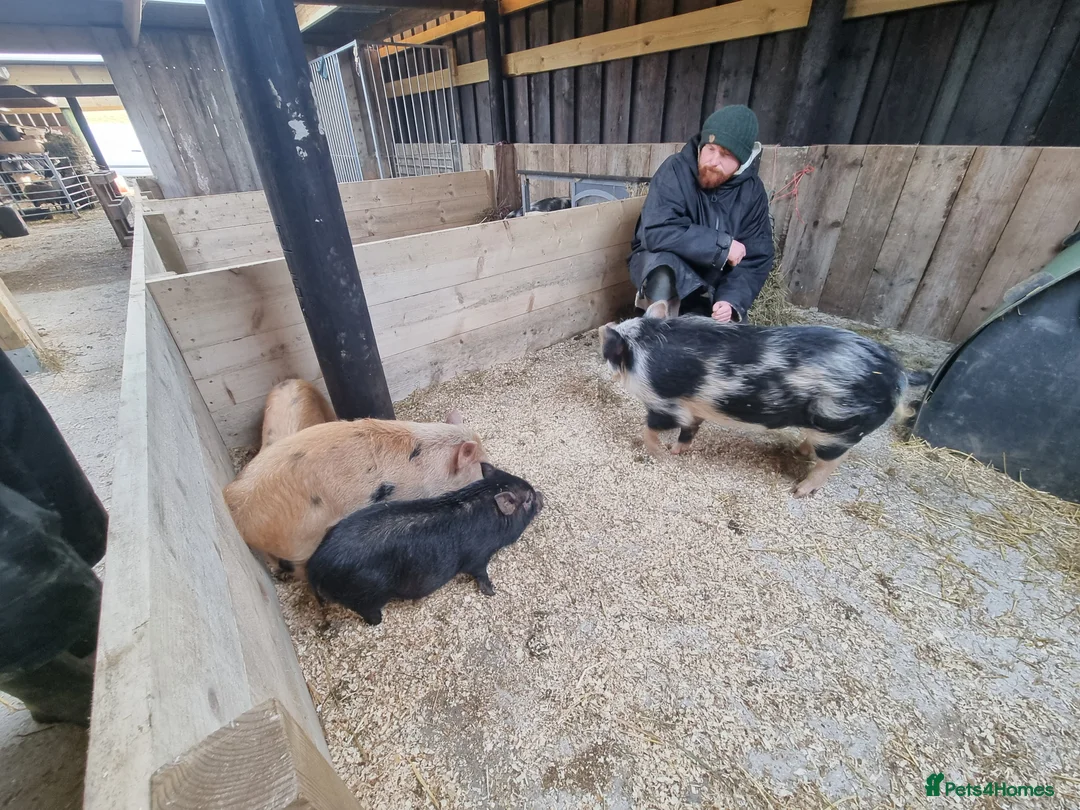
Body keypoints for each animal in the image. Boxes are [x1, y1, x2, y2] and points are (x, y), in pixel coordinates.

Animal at [306, 463, 542, 625]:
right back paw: (378, 621)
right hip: (365, 596)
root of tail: (315, 566)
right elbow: (480, 572)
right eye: (528, 499)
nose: (542, 495)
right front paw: (492, 591)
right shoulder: (478, 556)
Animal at [599, 301, 932, 497]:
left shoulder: (664, 403)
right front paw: (676, 451)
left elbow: (651, 428)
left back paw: (799, 490)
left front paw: (661, 454)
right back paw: (799, 452)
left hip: (838, 425)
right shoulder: (693, 408)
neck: (643, 351)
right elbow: (690, 429)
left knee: (834, 460)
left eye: (609, 353)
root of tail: (898, 372)